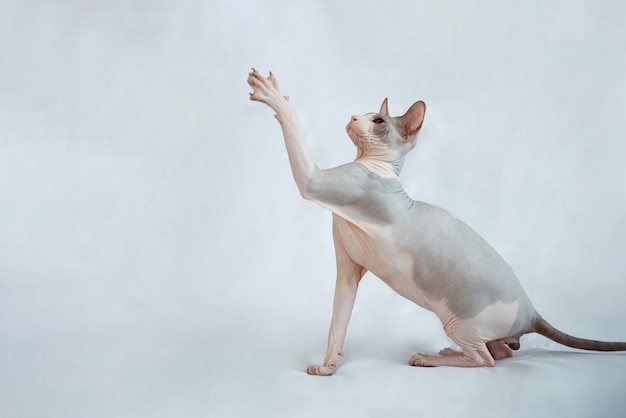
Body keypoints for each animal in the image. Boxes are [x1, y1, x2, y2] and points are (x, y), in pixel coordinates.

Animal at [245, 68, 624, 376]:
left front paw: (272, 95)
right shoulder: (348, 269)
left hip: (458, 321)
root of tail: (531, 312)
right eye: (366, 114)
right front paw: (327, 366)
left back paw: (428, 358)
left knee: (485, 360)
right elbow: (338, 321)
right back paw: (455, 351)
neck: (377, 166)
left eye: (378, 122)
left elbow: (297, 141)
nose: (352, 116)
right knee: (503, 352)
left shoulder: (316, 182)